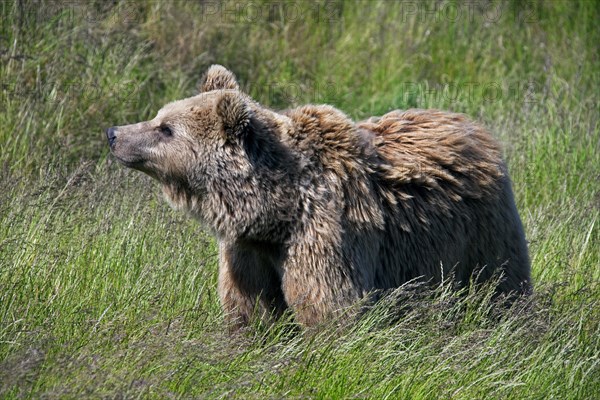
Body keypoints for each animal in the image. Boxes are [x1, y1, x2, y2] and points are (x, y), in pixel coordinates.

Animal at [106, 65, 528, 328]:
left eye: (165, 128)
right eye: (159, 116)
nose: (114, 133)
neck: (276, 211)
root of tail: (473, 126)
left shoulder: (324, 234)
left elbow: (327, 306)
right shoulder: (248, 250)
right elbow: (250, 307)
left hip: (478, 229)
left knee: (498, 281)